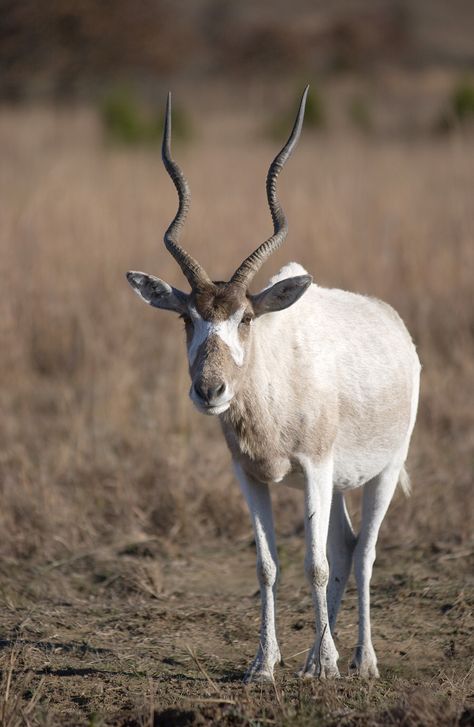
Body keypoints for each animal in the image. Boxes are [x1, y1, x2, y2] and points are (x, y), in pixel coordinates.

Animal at [127, 88, 422, 684]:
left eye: (245, 317)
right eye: (187, 317)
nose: (210, 391)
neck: (272, 390)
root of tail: (393, 323)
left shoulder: (314, 467)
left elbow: (315, 563)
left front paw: (328, 665)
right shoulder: (249, 475)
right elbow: (268, 565)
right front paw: (265, 665)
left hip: (382, 469)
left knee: (363, 553)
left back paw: (361, 661)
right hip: (338, 482)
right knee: (346, 544)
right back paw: (312, 658)